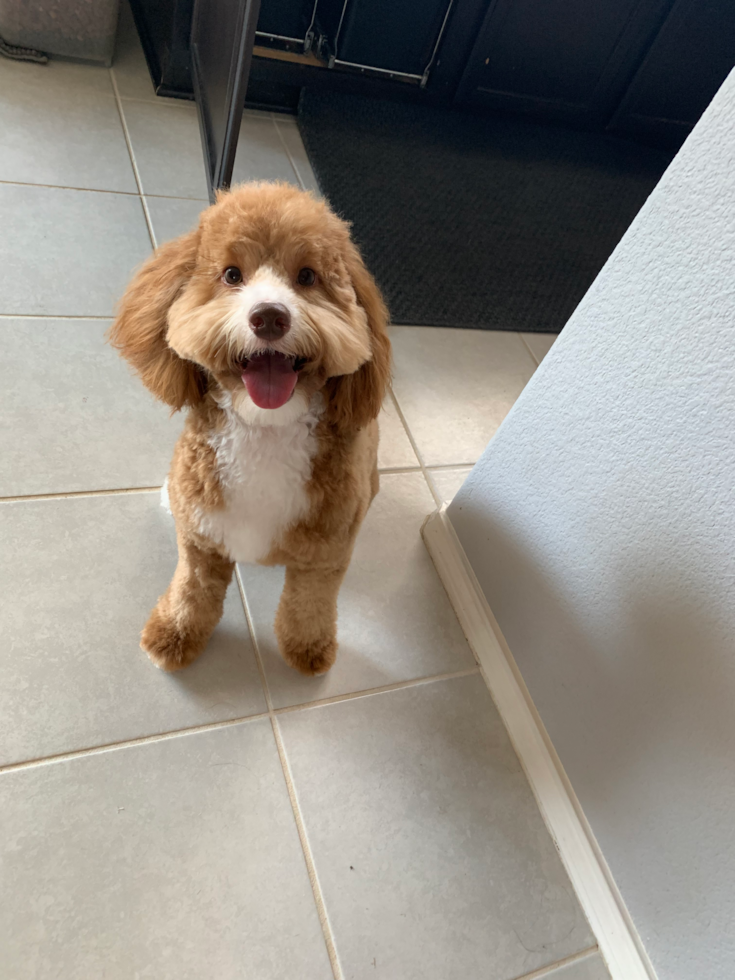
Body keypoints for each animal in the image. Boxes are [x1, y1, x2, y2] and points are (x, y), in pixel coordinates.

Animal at [108, 182, 392, 672]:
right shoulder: (200, 538)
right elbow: (192, 591)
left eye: (307, 276)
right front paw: (174, 633)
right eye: (231, 274)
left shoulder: (326, 552)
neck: (266, 431)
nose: (270, 316)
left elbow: (310, 603)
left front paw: (307, 647)